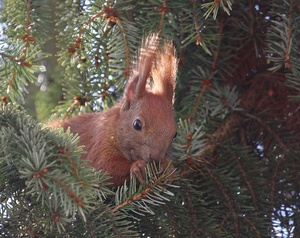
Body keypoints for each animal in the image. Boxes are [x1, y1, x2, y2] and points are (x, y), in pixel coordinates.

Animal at [55, 34, 177, 186]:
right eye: (137, 124)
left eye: (175, 134)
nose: (155, 157)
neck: (115, 126)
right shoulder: (100, 142)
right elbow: (104, 167)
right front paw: (137, 166)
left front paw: (168, 168)